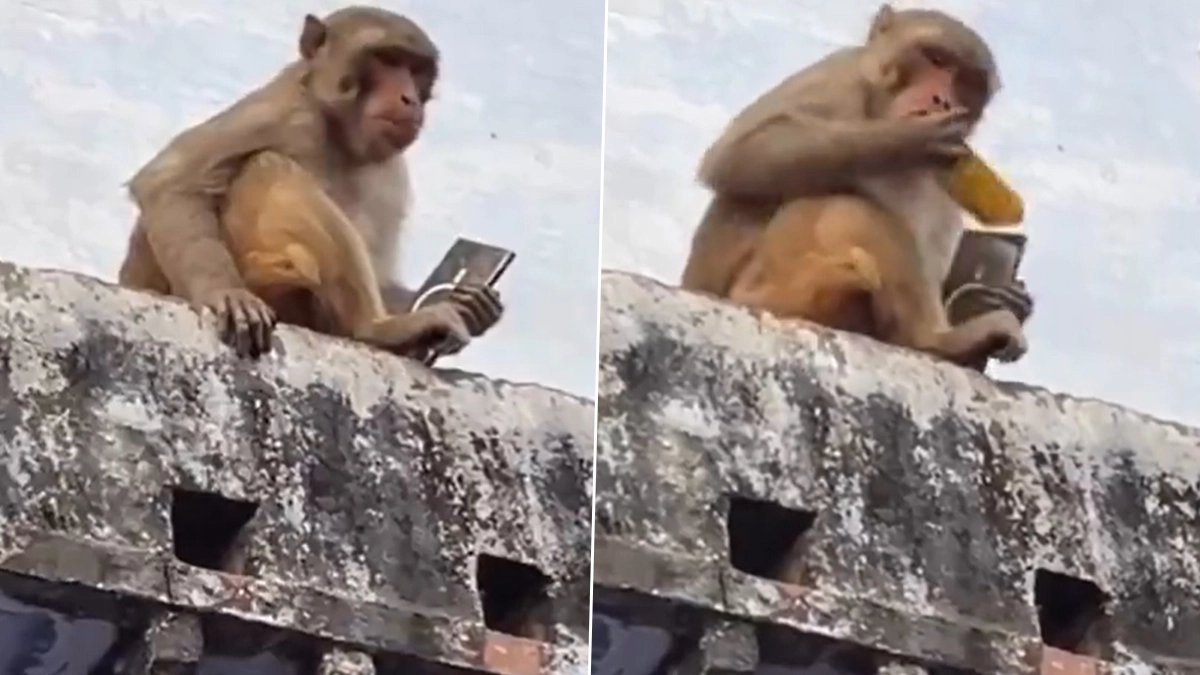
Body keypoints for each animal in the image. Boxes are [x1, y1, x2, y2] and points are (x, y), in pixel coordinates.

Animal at [117, 6, 503, 359]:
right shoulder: (281, 112)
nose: (408, 98)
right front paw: (224, 294)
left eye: (415, 69)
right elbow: (170, 181)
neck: (338, 133)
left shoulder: (392, 171)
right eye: (386, 59)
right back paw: (376, 329)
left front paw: (471, 304)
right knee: (268, 166)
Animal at [681, 4, 1027, 366]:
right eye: (935, 58)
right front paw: (908, 140)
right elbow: (740, 154)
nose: (942, 100)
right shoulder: (839, 74)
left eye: (967, 80)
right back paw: (931, 339)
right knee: (847, 203)